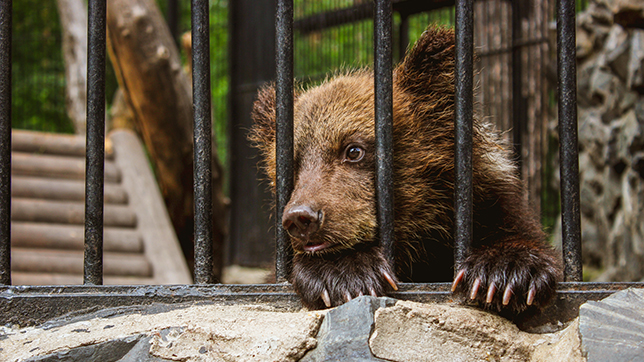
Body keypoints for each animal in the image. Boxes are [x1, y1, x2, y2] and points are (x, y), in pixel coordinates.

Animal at [249, 25, 560, 314]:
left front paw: (505, 272)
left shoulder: (491, 206)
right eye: (292, 164)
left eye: (353, 150)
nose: (301, 218)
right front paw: (342, 273)